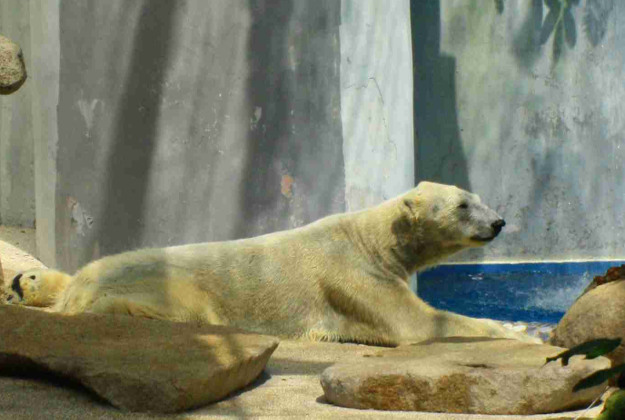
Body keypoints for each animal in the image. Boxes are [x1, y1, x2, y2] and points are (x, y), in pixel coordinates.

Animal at [2, 182, 532, 346]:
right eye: (463, 205)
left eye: (477, 198)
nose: (499, 221)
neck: (371, 240)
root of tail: (84, 288)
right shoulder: (353, 277)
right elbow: (416, 324)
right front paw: (520, 330)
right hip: (162, 285)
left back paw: (30, 281)